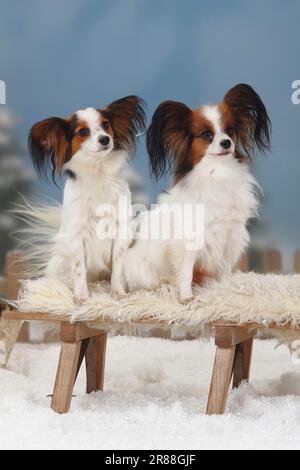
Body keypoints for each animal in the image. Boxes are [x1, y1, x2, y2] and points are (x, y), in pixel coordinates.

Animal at [27, 97, 146, 302]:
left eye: (106, 125)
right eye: (82, 132)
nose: (105, 139)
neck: (98, 172)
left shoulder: (120, 231)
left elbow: (117, 265)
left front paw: (117, 292)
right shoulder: (76, 235)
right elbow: (79, 268)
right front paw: (81, 297)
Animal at [113, 83, 272, 302]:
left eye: (230, 130)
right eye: (206, 134)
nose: (226, 142)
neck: (217, 173)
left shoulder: (230, 238)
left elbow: (224, 270)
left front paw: (225, 291)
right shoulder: (190, 241)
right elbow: (186, 271)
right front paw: (186, 297)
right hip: (142, 271)